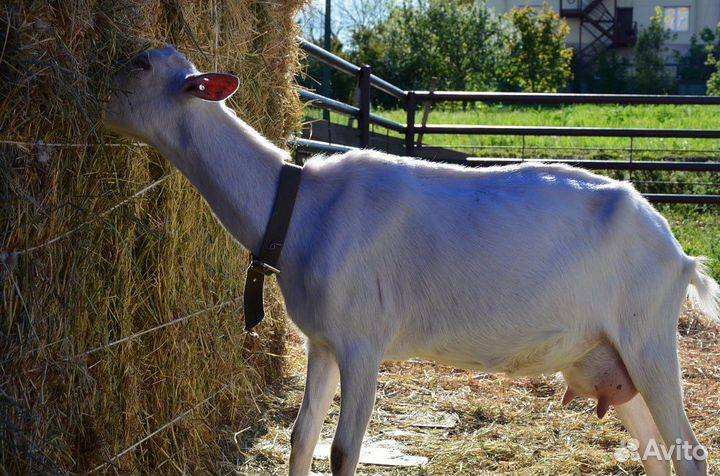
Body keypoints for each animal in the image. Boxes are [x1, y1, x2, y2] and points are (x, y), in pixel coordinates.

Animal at [104, 47, 720, 476]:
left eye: (139, 63)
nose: (94, 94)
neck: (299, 207)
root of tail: (679, 254)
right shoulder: (322, 341)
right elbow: (301, 438)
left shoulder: (362, 342)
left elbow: (343, 450)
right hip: (610, 355)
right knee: (658, 453)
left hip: (647, 337)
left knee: (690, 454)